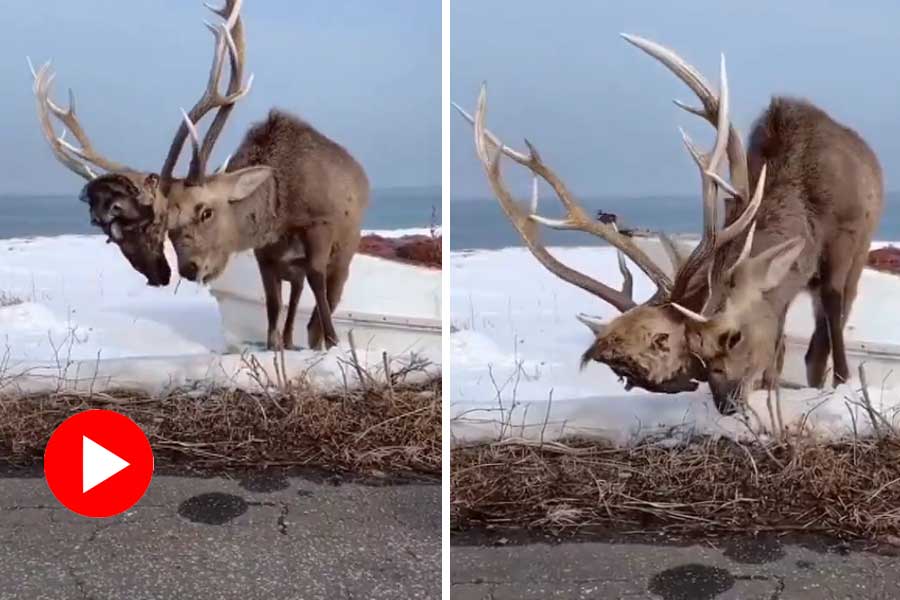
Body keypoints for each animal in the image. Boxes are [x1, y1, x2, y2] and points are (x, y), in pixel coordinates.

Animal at [29, 1, 370, 352]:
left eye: (206, 212)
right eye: (167, 225)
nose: (189, 269)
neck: (281, 211)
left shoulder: (321, 226)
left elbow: (319, 285)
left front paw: (332, 340)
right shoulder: (266, 254)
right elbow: (274, 305)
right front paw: (277, 344)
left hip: (347, 241)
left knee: (326, 288)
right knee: (296, 295)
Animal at [454, 34, 884, 412]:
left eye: (664, 339)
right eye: (695, 351)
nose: (726, 403)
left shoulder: (845, 241)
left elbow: (830, 313)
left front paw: (842, 383)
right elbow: (782, 344)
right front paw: (772, 384)